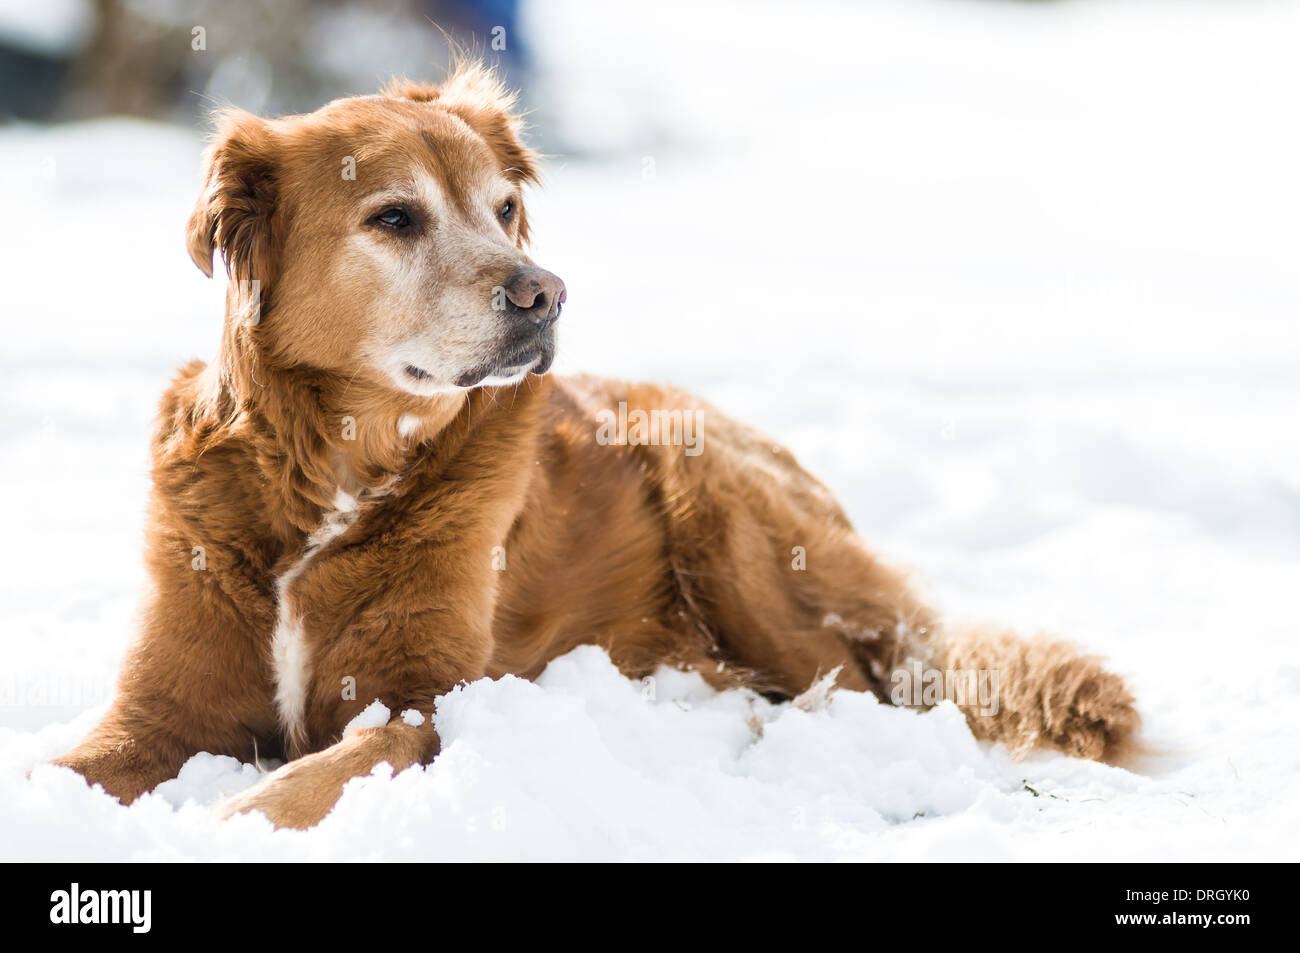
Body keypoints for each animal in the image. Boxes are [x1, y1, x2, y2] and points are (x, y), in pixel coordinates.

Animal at [50, 65, 1138, 826]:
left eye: (503, 209)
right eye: (394, 217)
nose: (545, 291)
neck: (334, 471)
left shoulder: (422, 702)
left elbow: (313, 775)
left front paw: (219, 822)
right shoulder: (159, 709)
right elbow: (64, 764)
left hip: (724, 514)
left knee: (854, 689)